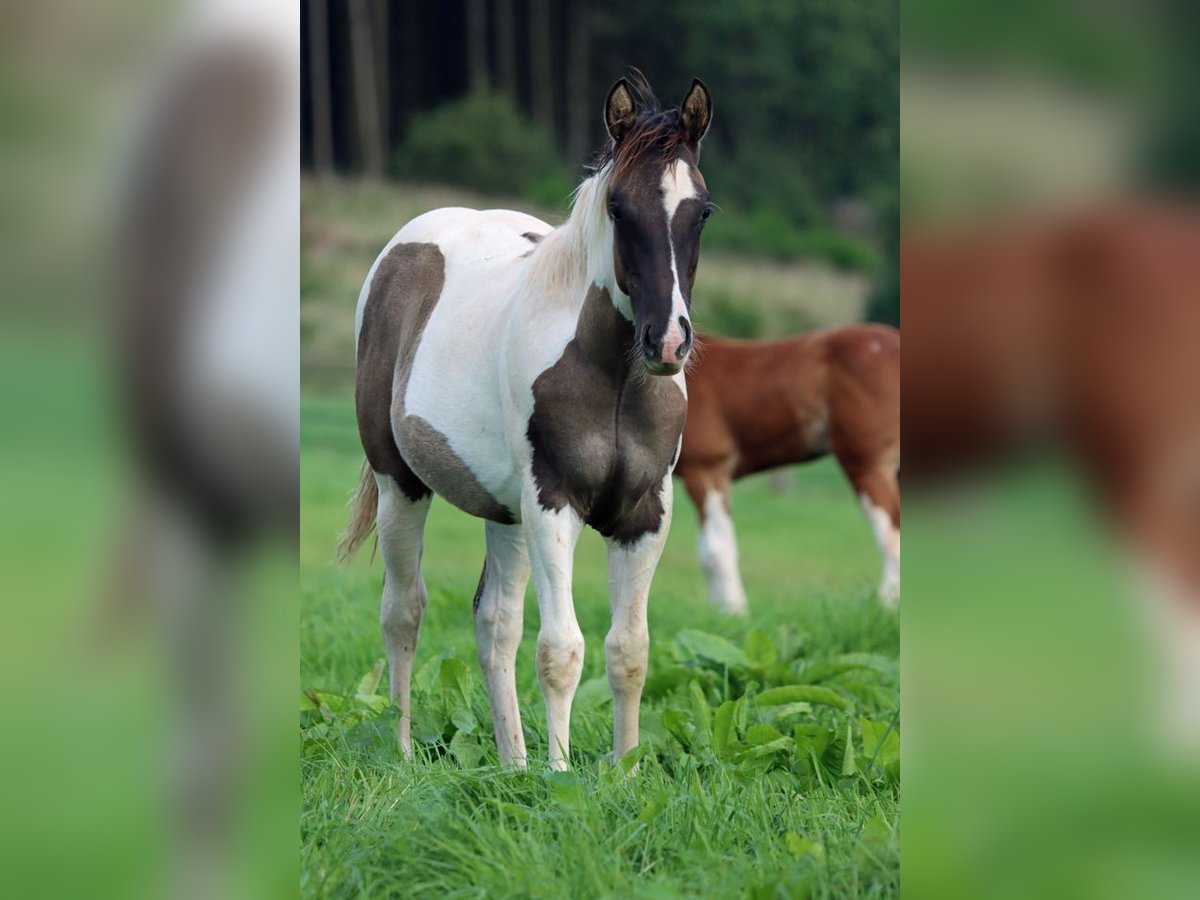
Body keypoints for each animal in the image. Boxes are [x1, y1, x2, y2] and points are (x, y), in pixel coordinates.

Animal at [338, 74, 710, 772]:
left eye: (700, 211)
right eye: (617, 207)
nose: (668, 342)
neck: (613, 379)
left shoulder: (646, 514)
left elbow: (629, 651)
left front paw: (624, 772)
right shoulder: (551, 503)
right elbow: (561, 649)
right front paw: (560, 774)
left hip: (504, 516)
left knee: (495, 624)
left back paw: (512, 760)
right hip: (403, 485)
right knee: (403, 611)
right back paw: (403, 753)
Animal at [676, 328, 902, 619]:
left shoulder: (706, 469)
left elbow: (715, 549)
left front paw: (735, 614)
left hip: (867, 464)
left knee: (892, 536)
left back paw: (885, 608)